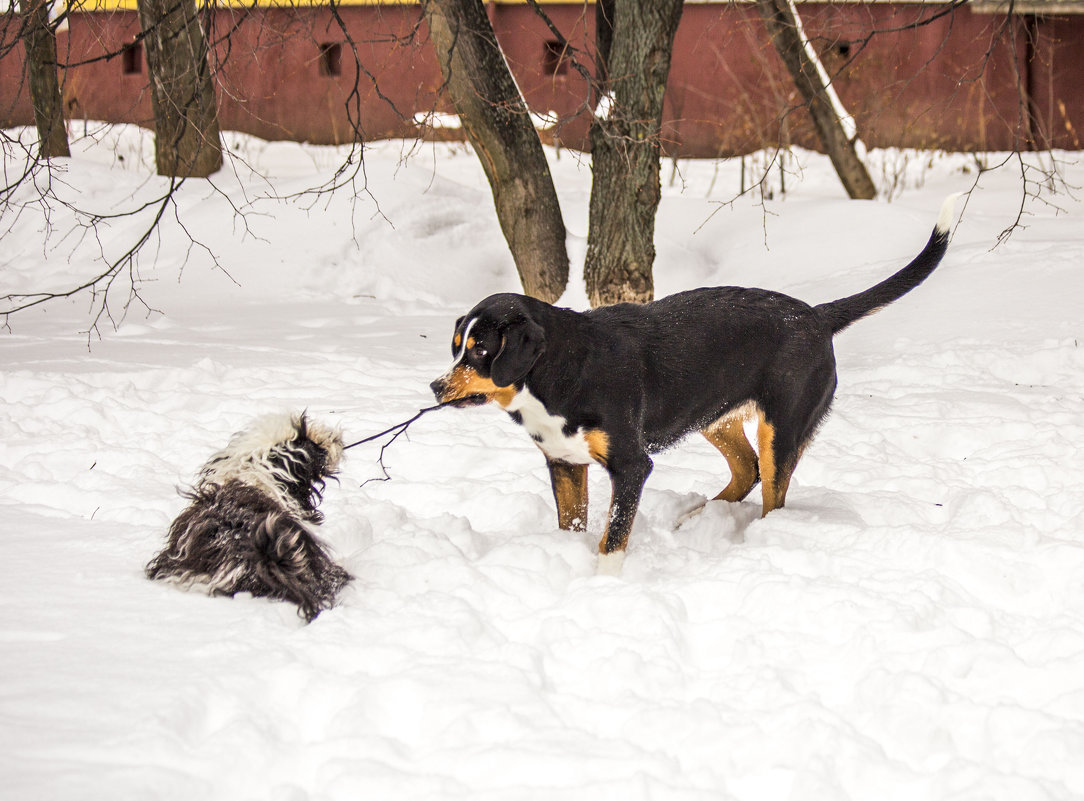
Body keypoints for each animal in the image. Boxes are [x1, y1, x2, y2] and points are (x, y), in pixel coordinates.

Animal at [431, 197, 958, 572]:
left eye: (481, 349)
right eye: (457, 344)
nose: (436, 386)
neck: (558, 372)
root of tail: (814, 315)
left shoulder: (631, 466)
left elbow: (612, 539)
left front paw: (603, 586)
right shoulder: (564, 464)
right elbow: (573, 523)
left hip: (781, 428)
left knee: (772, 494)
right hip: (713, 417)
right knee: (746, 471)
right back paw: (695, 519)